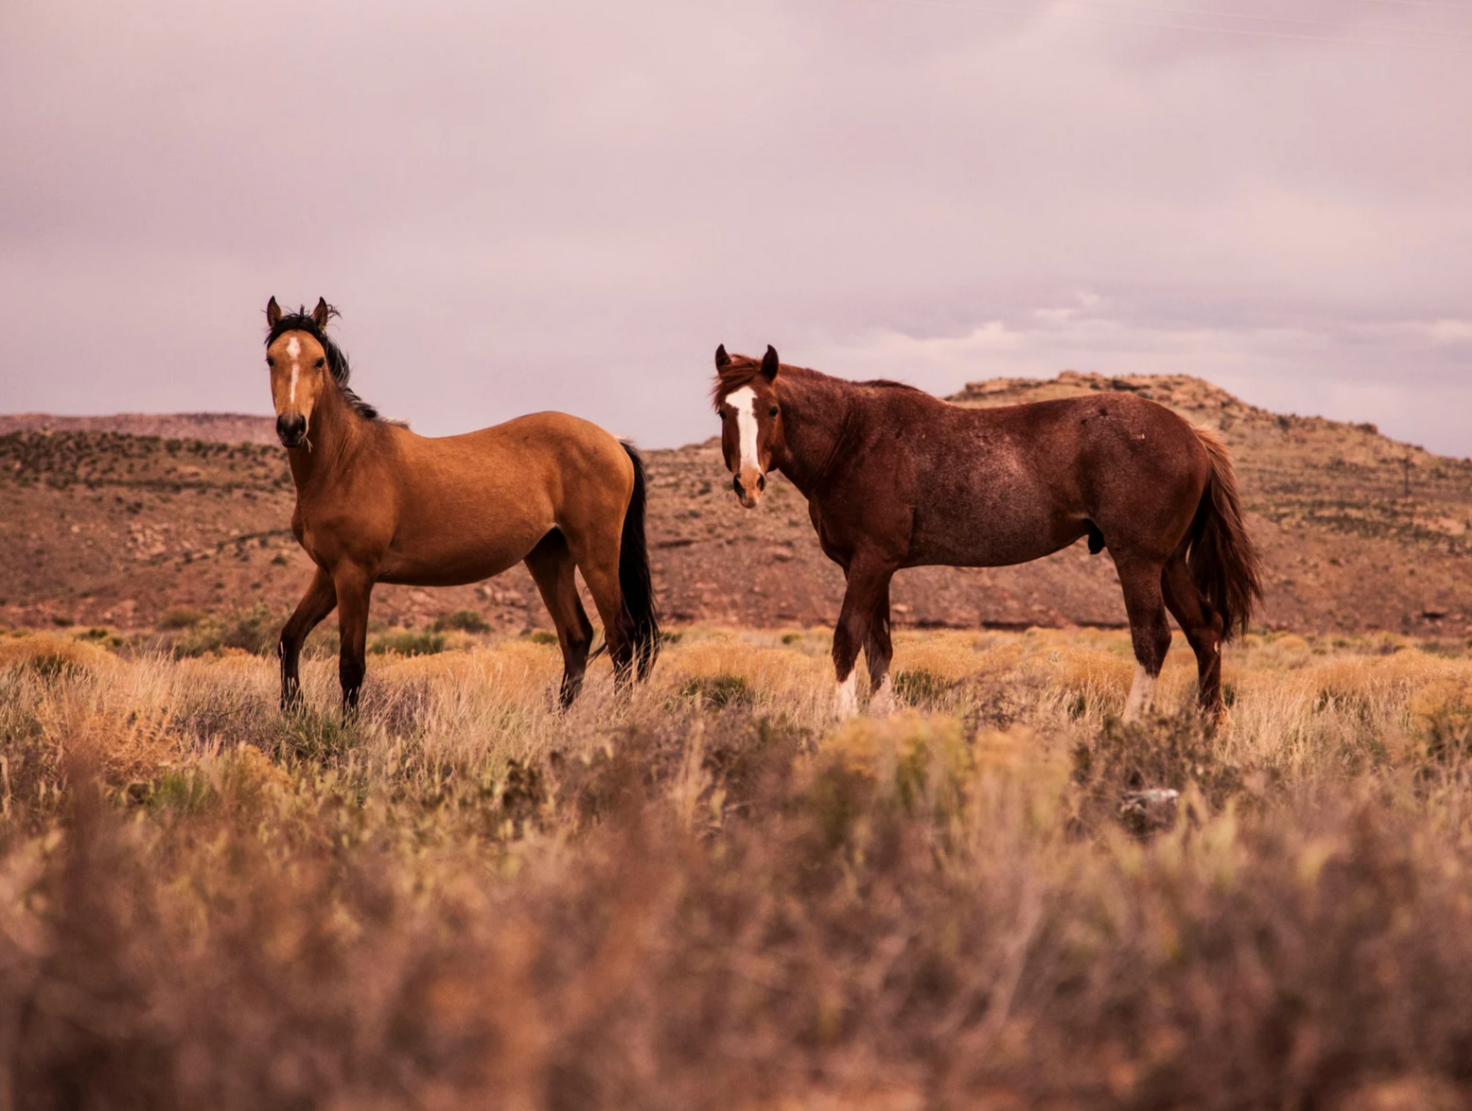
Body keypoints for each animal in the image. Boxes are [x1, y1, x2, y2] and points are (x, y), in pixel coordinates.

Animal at [262, 297, 659, 712]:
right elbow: (289, 638)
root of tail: (614, 441)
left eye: (319, 361)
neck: (346, 459)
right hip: (549, 556)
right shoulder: (329, 572)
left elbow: (351, 666)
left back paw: (616, 716)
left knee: (622, 638)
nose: (292, 427)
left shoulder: (355, 575)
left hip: (596, 555)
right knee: (577, 636)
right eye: (271, 359)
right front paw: (293, 709)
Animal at [706, 350, 1260, 729]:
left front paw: (841, 722)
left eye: (772, 409)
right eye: (724, 413)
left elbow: (846, 641)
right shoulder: (874, 569)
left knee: (1154, 639)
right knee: (1205, 630)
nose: (748, 482)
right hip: (1169, 563)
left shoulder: (868, 564)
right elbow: (879, 649)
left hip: (1139, 561)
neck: (852, 438)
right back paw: (1209, 729)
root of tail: (1191, 434)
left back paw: (1129, 728)